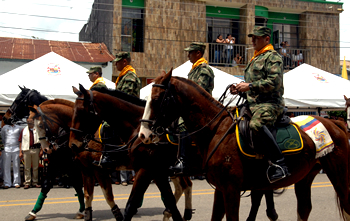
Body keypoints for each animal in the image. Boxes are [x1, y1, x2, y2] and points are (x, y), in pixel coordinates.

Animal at [0, 87, 84, 220]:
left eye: (18, 100)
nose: (5, 117)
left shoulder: (71, 164)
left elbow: (78, 184)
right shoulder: (57, 162)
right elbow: (46, 185)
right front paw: (33, 211)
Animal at [139, 69, 350, 221]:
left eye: (156, 99)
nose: (143, 134)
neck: (216, 130)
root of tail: (337, 123)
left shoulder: (232, 190)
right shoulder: (221, 190)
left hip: (339, 174)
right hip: (305, 176)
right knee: (304, 208)